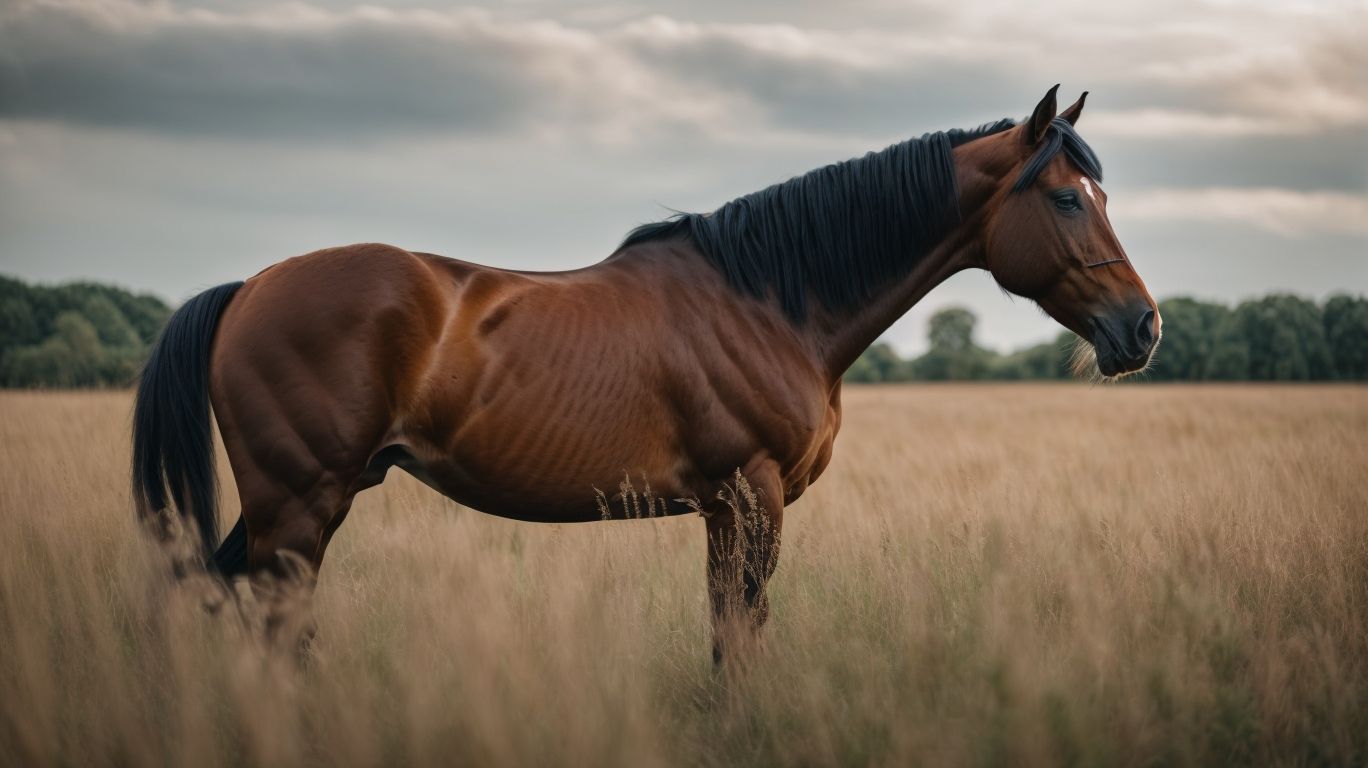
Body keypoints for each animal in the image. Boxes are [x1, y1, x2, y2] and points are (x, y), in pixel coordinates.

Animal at [132, 86, 1160, 659]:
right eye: (1067, 199)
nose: (1142, 328)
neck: (770, 299)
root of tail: (249, 287)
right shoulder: (751, 499)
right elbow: (741, 639)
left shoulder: (721, 511)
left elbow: (724, 634)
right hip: (299, 506)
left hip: (298, 505)